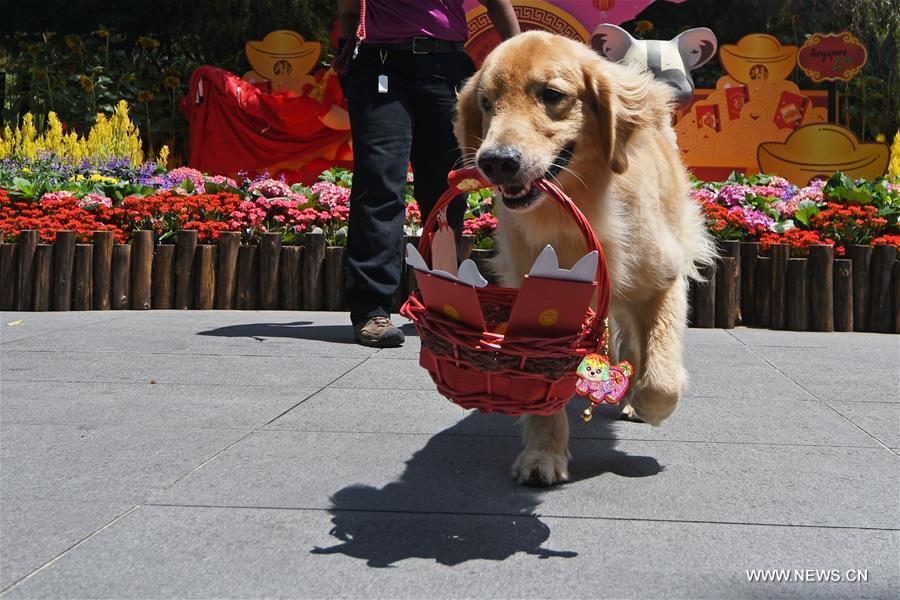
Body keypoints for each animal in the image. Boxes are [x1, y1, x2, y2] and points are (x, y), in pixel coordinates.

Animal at [454, 30, 712, 486]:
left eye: (552, 95)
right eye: (485, 102)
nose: (495, 162)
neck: (580, 206)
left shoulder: (663, 281)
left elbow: (662, 374)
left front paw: (649, 403)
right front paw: (543, 453)